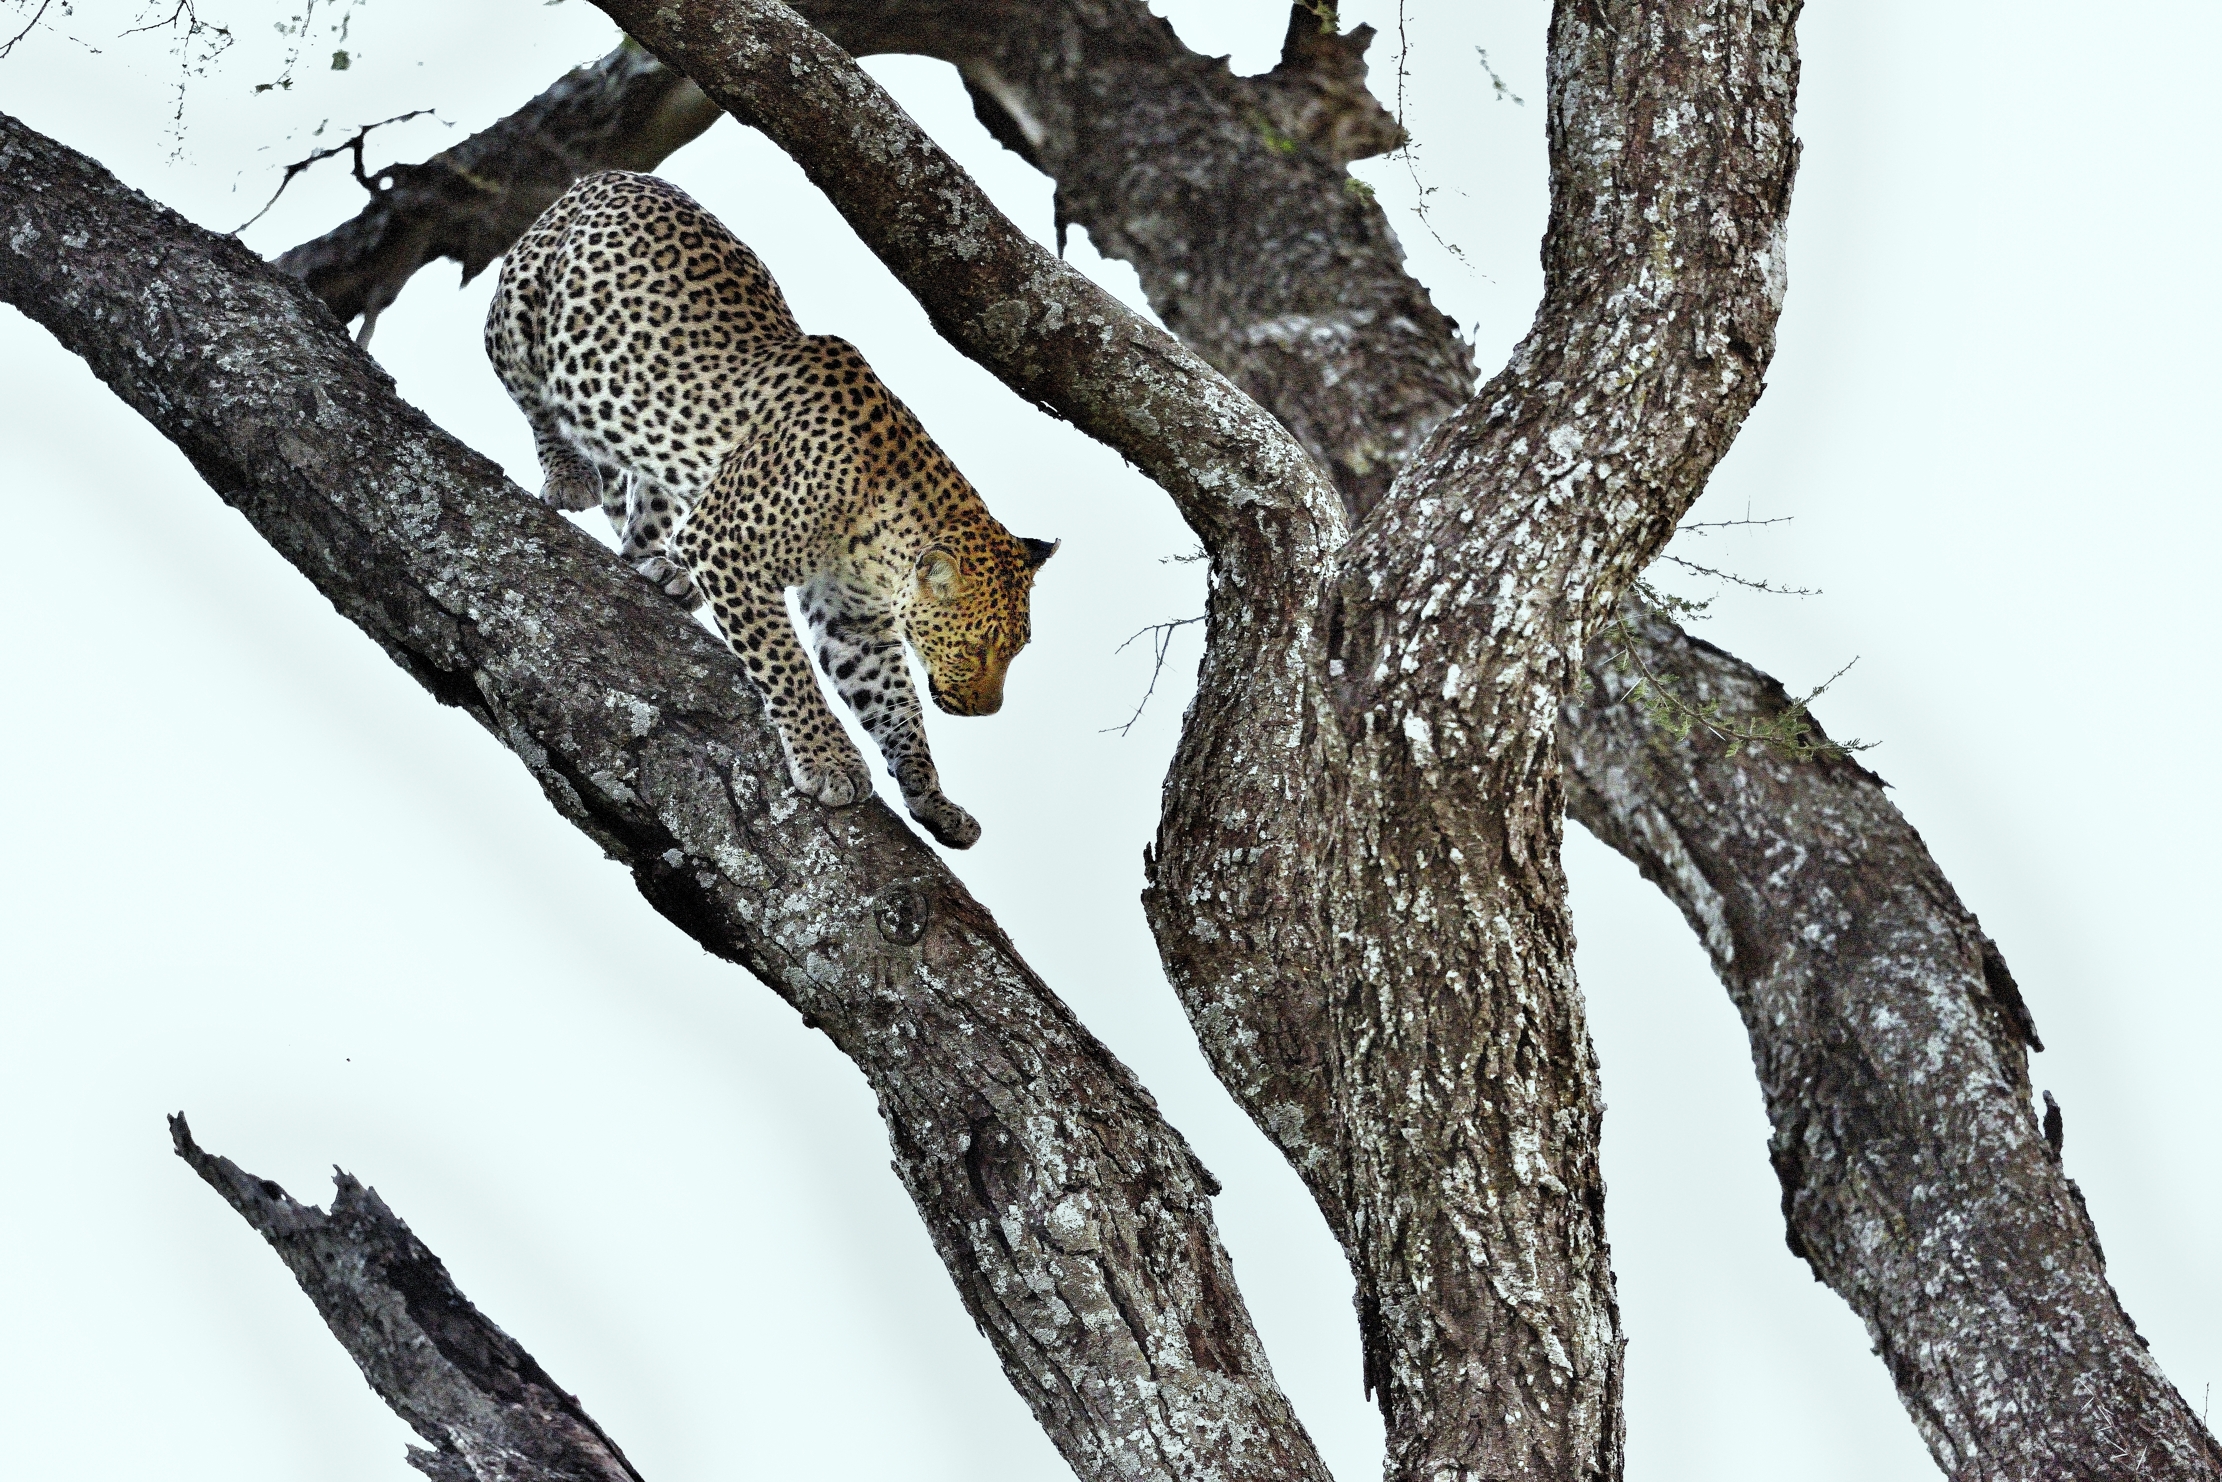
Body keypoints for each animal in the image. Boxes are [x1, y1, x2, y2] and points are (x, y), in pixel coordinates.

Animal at [485, 170, 1057, 850]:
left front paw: (933, 797)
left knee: (642, 514)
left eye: (1018, 650)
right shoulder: (727, 547)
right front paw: (830, 762)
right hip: (518, 312)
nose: (987, 710)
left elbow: (896, 706)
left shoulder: (851, 619)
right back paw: (570, 475)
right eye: (980, 648)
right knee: (536, 402)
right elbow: (788, 668)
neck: (879, 528)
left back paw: (662, 568)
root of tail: (607, 175)